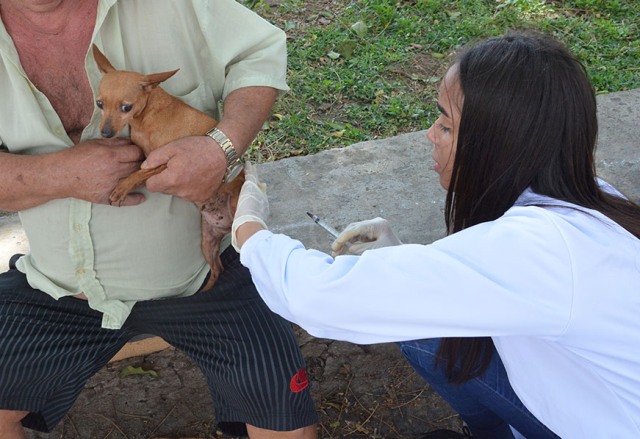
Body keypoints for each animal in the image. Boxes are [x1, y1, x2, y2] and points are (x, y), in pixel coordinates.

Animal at [93, 45, 245, 292]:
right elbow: (138, 165)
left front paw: (122, 188)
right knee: (218, 268)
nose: (106, 133)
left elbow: (141, 172)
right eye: (99, 104)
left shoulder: (165, 162)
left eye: (126, 107)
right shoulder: (144, 152)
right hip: (208, 241)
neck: (146, 116)